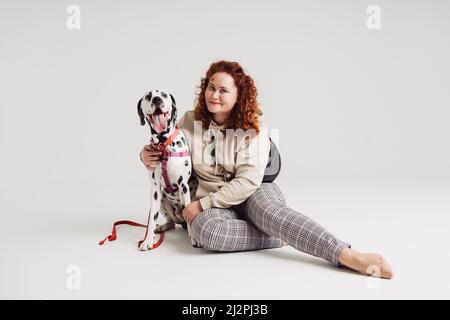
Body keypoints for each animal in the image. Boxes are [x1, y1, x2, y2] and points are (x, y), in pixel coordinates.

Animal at [136, 89, 198, 250]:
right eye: (148, 96)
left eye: (163, 94)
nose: (157, 99)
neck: (164, 144)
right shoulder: (155, 189)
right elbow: (152, 218)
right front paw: (147, 240)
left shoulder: (183, 186)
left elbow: (188, 211)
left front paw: (194, 239)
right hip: (163, 200)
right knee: (171, 222)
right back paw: (162, 227)